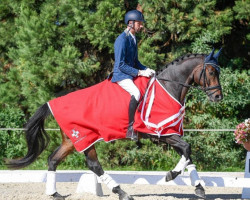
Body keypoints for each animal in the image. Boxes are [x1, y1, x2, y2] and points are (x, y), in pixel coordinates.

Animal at [5, 48, 223, 200]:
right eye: (211, 72)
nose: (218, 97)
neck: (168, 87)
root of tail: (54, 103)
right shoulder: (161, 133)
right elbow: (187, 149)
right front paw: (171, 175)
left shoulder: (169, 132)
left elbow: (188, 155)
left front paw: (199, 188)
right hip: (86, 138)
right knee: (94, 165)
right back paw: (121, 192)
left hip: (72, 140)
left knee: (53, 160)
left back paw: (55, 193)